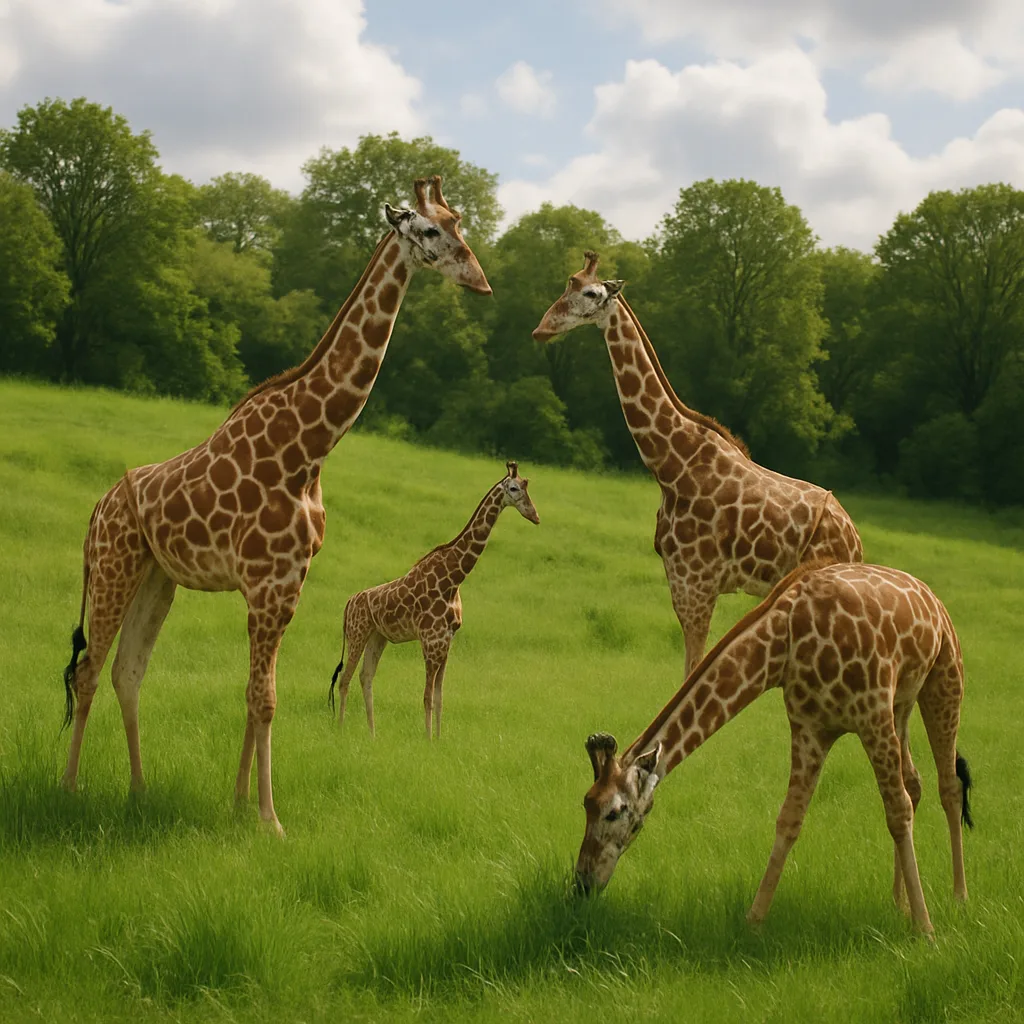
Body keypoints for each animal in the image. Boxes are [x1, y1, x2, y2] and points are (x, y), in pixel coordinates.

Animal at [59, 176, 491, 835]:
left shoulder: (288, 583)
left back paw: (138, 790)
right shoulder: (268, 582)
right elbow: (264, 696)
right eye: (428, 229)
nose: (479, 279)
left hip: (157, 577)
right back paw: (70, 789)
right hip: (114, 566)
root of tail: (96, 510)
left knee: (126, 672)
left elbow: (257, 692)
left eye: (459, 223)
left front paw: (240, 803)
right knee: (87, 670)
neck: (310, 446)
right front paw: (269, 818)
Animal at [328, 460, 539, 739]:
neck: (454, 579)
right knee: (345, 679)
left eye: (527, 487)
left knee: (366, 676)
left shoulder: (446, 641)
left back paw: (373, 734)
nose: (535, 515)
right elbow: (427, 696)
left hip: (377, 636)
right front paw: (427, 739)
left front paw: (438, 739)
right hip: (357, 632)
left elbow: (439, 697)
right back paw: (341, 730)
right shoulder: (430, 641)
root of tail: (348, 603)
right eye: (514, 488)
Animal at [532, 251, 863, 679]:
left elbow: (693, 669)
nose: (542, 329)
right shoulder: (681, 580)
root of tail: (856, 541)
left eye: (590, 292)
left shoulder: (696, 583)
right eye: (567, 284)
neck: (670, 463)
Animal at [574, 560, 973, 939]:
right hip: (901, 704)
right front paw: (754, 921)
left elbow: (896, 811)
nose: (583, 884)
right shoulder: (810, 727)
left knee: (947, 785)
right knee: (916, 782)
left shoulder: (871, 713)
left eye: (614, 812)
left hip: (944, 677)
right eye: (586, 804)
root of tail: (930, 596)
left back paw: (958, 898)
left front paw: (925, 929)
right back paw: (898, 902)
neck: (786, 641)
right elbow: (789, 819)